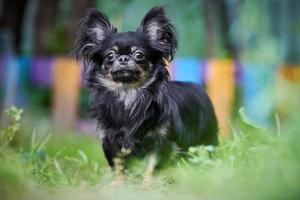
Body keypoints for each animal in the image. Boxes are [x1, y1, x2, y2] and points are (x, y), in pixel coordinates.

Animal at [74, 5, 217, 181]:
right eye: (110, 56)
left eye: (139, 55)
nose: (123, 58)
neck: (128, 93)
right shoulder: (112, 142)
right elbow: (119, 167)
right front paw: (118, 184)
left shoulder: (160, 142)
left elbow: (151, 166)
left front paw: (147, 184)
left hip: (207, 141)